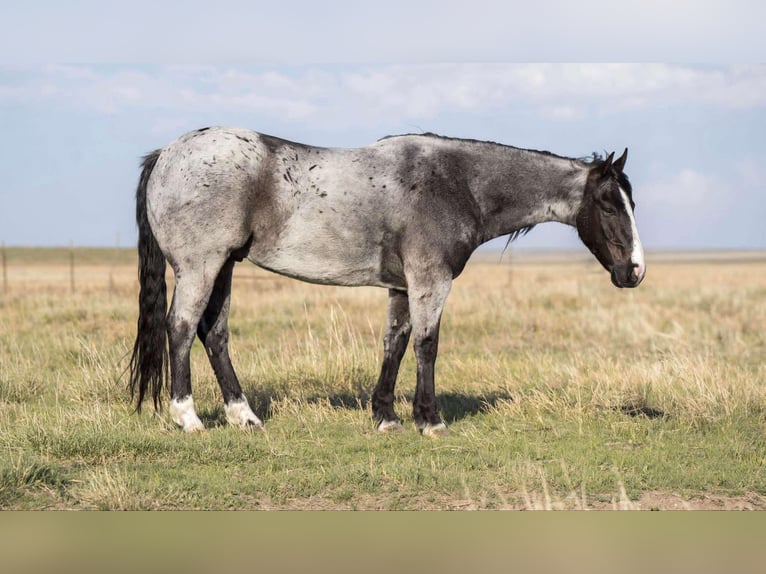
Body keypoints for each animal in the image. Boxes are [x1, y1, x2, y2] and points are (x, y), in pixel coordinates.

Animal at [129, 127, 645, 435]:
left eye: (630, 202)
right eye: (608, 204)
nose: (635, 271)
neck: (457, 182)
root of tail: (167, 153)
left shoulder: (402, 286)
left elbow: (394, 344)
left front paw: (385, 416)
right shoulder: (430, 280)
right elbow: (426, 344)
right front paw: (429, 420)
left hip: (225, 267)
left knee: (213, 334)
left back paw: (245, 416)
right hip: (202, 266)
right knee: (181, 328)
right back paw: (188, 416)